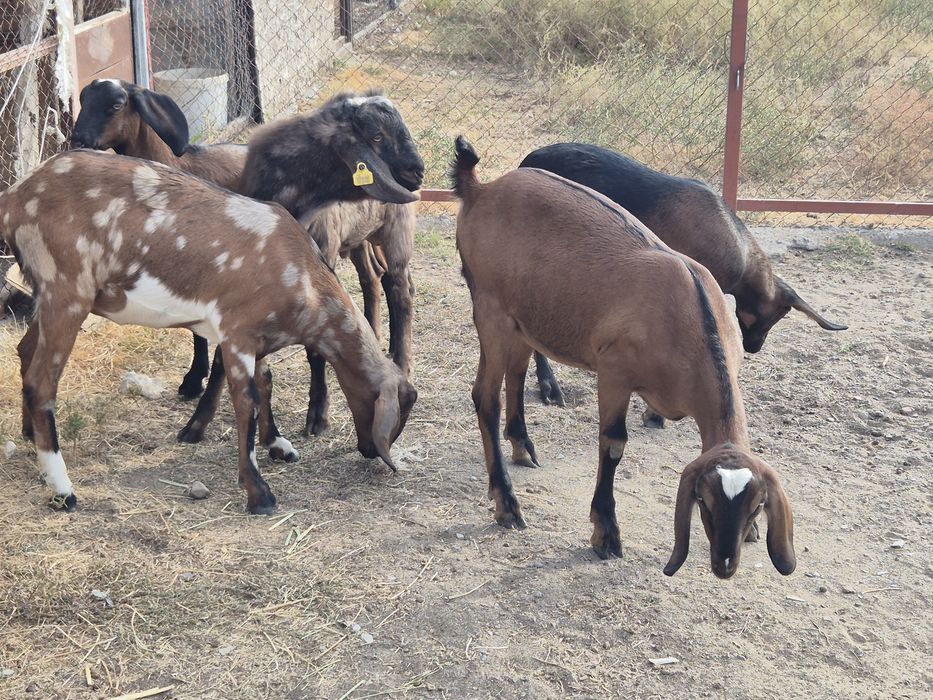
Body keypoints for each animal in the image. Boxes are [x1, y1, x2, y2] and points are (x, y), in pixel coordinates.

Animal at [0, 150, 417, 513]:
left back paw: (30, 435)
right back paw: (62, 488)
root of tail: (17, 196)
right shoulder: (236, 333)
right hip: (67, 290)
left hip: (49, 295)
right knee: (41, 382)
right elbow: (247, 402)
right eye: (399, 411)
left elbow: (266, 382)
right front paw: (258, 492)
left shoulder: (258, 338)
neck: (302, 278)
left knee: (25, 352)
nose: (370, 450)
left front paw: (277, 444)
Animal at [181, 90, 424, 443]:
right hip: (359, 238)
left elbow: (315, 348)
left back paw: (402, 361)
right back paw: (378, 336)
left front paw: (317, 414)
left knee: (400, 291)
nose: (418, 172)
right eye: (377, 136)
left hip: (397, 230)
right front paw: (197, 423)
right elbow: (223, 355)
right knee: (372, 279)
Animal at [451, 137, 794, 579]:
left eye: (756, 506)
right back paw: (507, 504)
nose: (724, 564)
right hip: (489, 308)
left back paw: (523, 446)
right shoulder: (614, 371)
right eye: (704, 500)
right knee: (485, 398)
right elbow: (613, 443)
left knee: (517, 370)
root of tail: (480, 189)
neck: (690, 316)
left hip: (524, 317)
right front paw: (606, 534)